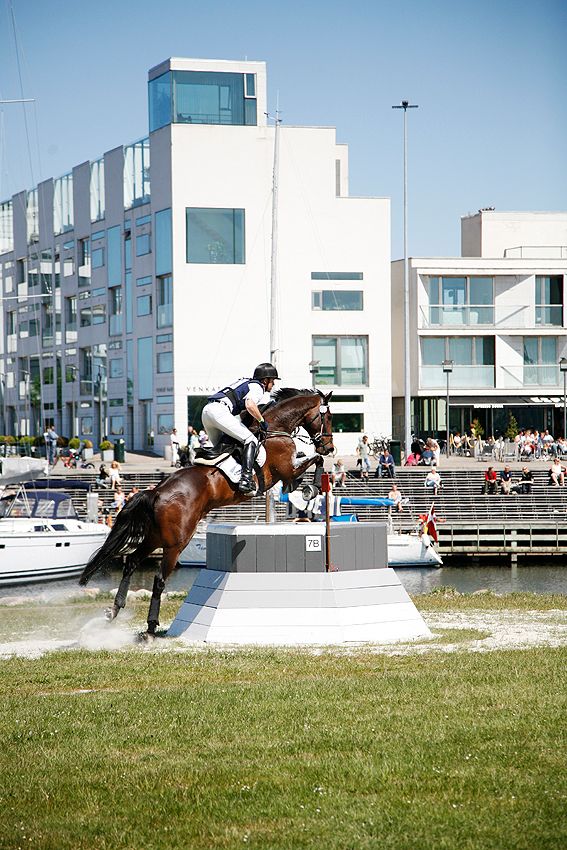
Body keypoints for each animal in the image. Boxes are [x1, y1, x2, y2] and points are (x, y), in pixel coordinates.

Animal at [80, 388, 338, 632]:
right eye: (328, 417)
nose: (330, 447)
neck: (276, 429)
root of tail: (157, 492)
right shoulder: (286, 468)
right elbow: (315, 461)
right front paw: (312, 488)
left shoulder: (286, 472)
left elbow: (309, 463)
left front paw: (308, 487)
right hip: (176, 542)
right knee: (159, 578)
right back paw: (151, 626)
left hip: (155, 537)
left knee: (131, 563)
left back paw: (115, 610)